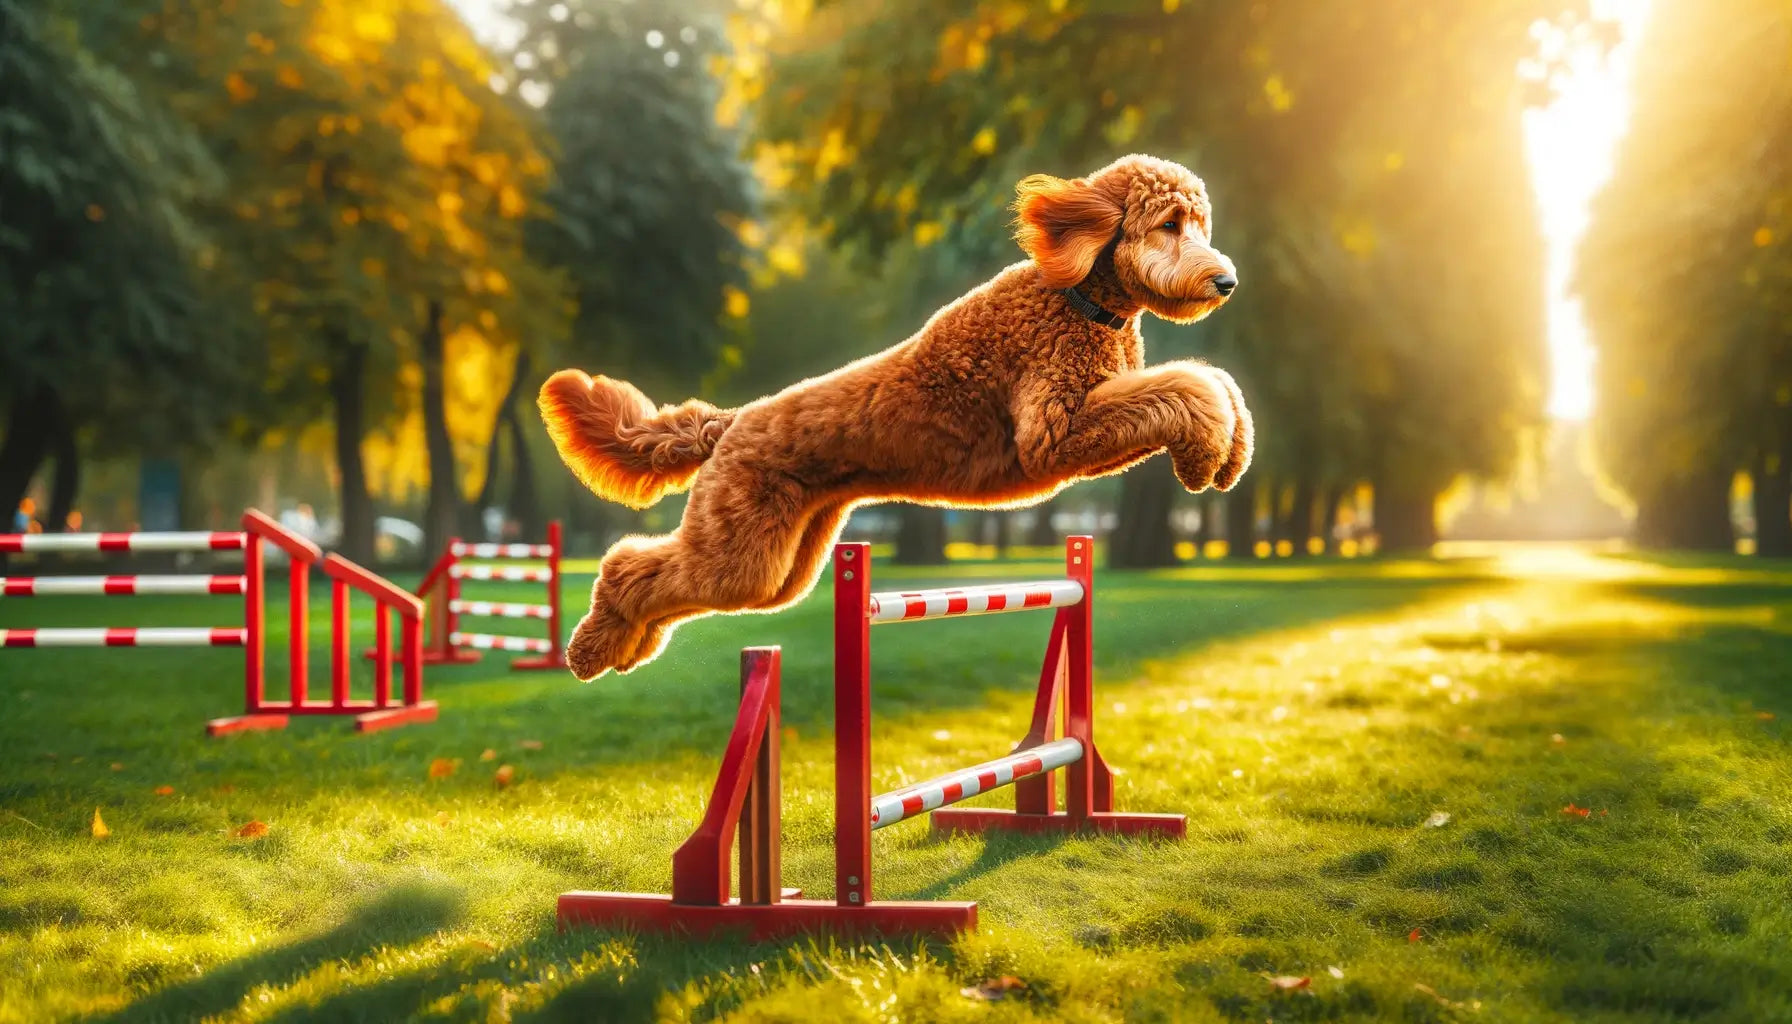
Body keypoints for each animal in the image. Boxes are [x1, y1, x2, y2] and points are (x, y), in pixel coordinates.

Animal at [537, 154, 1254, 681]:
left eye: (1201, 223)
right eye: (1170, 223)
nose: (1227, 283)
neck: (1077, 299)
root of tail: (731, 423)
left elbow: (1214, 381)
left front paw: (1232, 453)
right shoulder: (1053, 433)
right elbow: (1186, 385)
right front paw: (1201, 457)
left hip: (779, 563)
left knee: (663, 578)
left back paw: (625, 648)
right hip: (740, 548)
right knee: (628, 564)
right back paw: (590, 649)